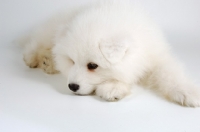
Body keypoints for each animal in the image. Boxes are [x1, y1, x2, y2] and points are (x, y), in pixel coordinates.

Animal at [21, 0, 200, 106]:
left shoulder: (156, 56)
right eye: (72, 61)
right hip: (48, 32)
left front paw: (189, 92)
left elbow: (170, 74)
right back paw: (38, 59)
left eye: (93, 65)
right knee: (34, 44)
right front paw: (113, 88)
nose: (72, 86)